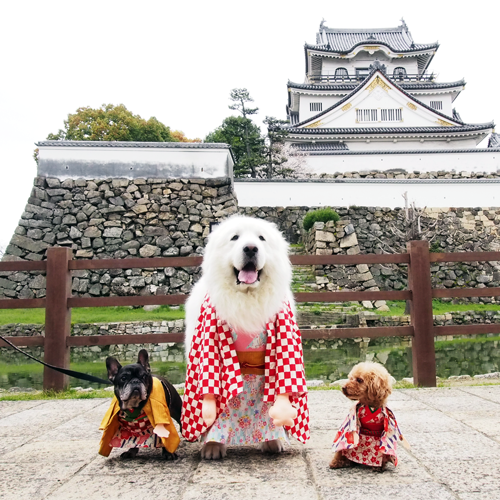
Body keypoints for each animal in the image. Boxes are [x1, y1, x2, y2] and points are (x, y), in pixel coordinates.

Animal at [184, 213, 308, 458]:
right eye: (235, 238)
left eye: (261, 238)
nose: (250, 248)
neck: (247, 298)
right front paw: (213, 445)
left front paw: (273, 439)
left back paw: (272, 442)